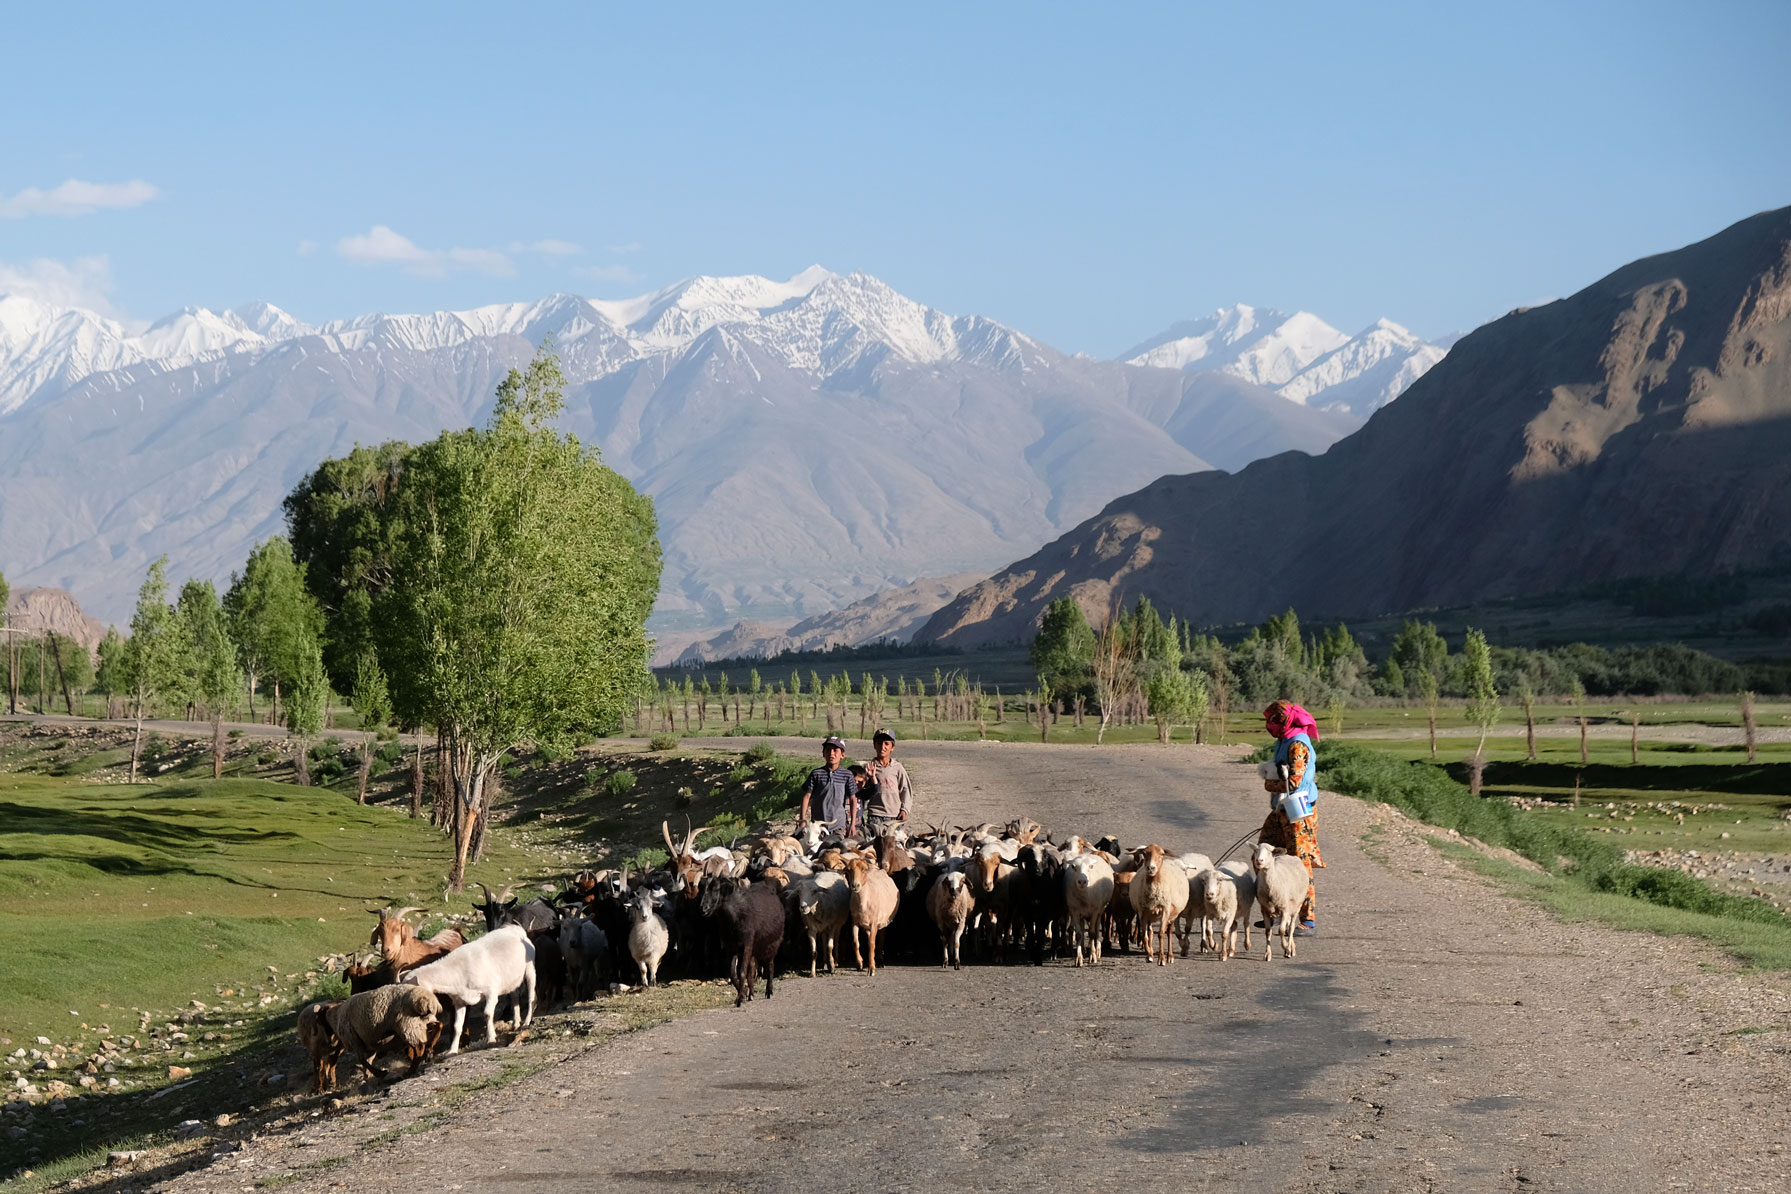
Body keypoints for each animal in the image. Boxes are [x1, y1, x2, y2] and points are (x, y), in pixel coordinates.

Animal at [406, 923, 537, 1052]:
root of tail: (516, 929)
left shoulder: (491, 992)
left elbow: (487, 1014)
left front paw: (491, 1038)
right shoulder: (459, 1002)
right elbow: (457, 1026)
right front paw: (452, 1050)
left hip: (530, 968)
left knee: (531, 996)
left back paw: (526, 1022)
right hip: (511, 980)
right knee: (514, 997)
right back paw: (516, 1023)